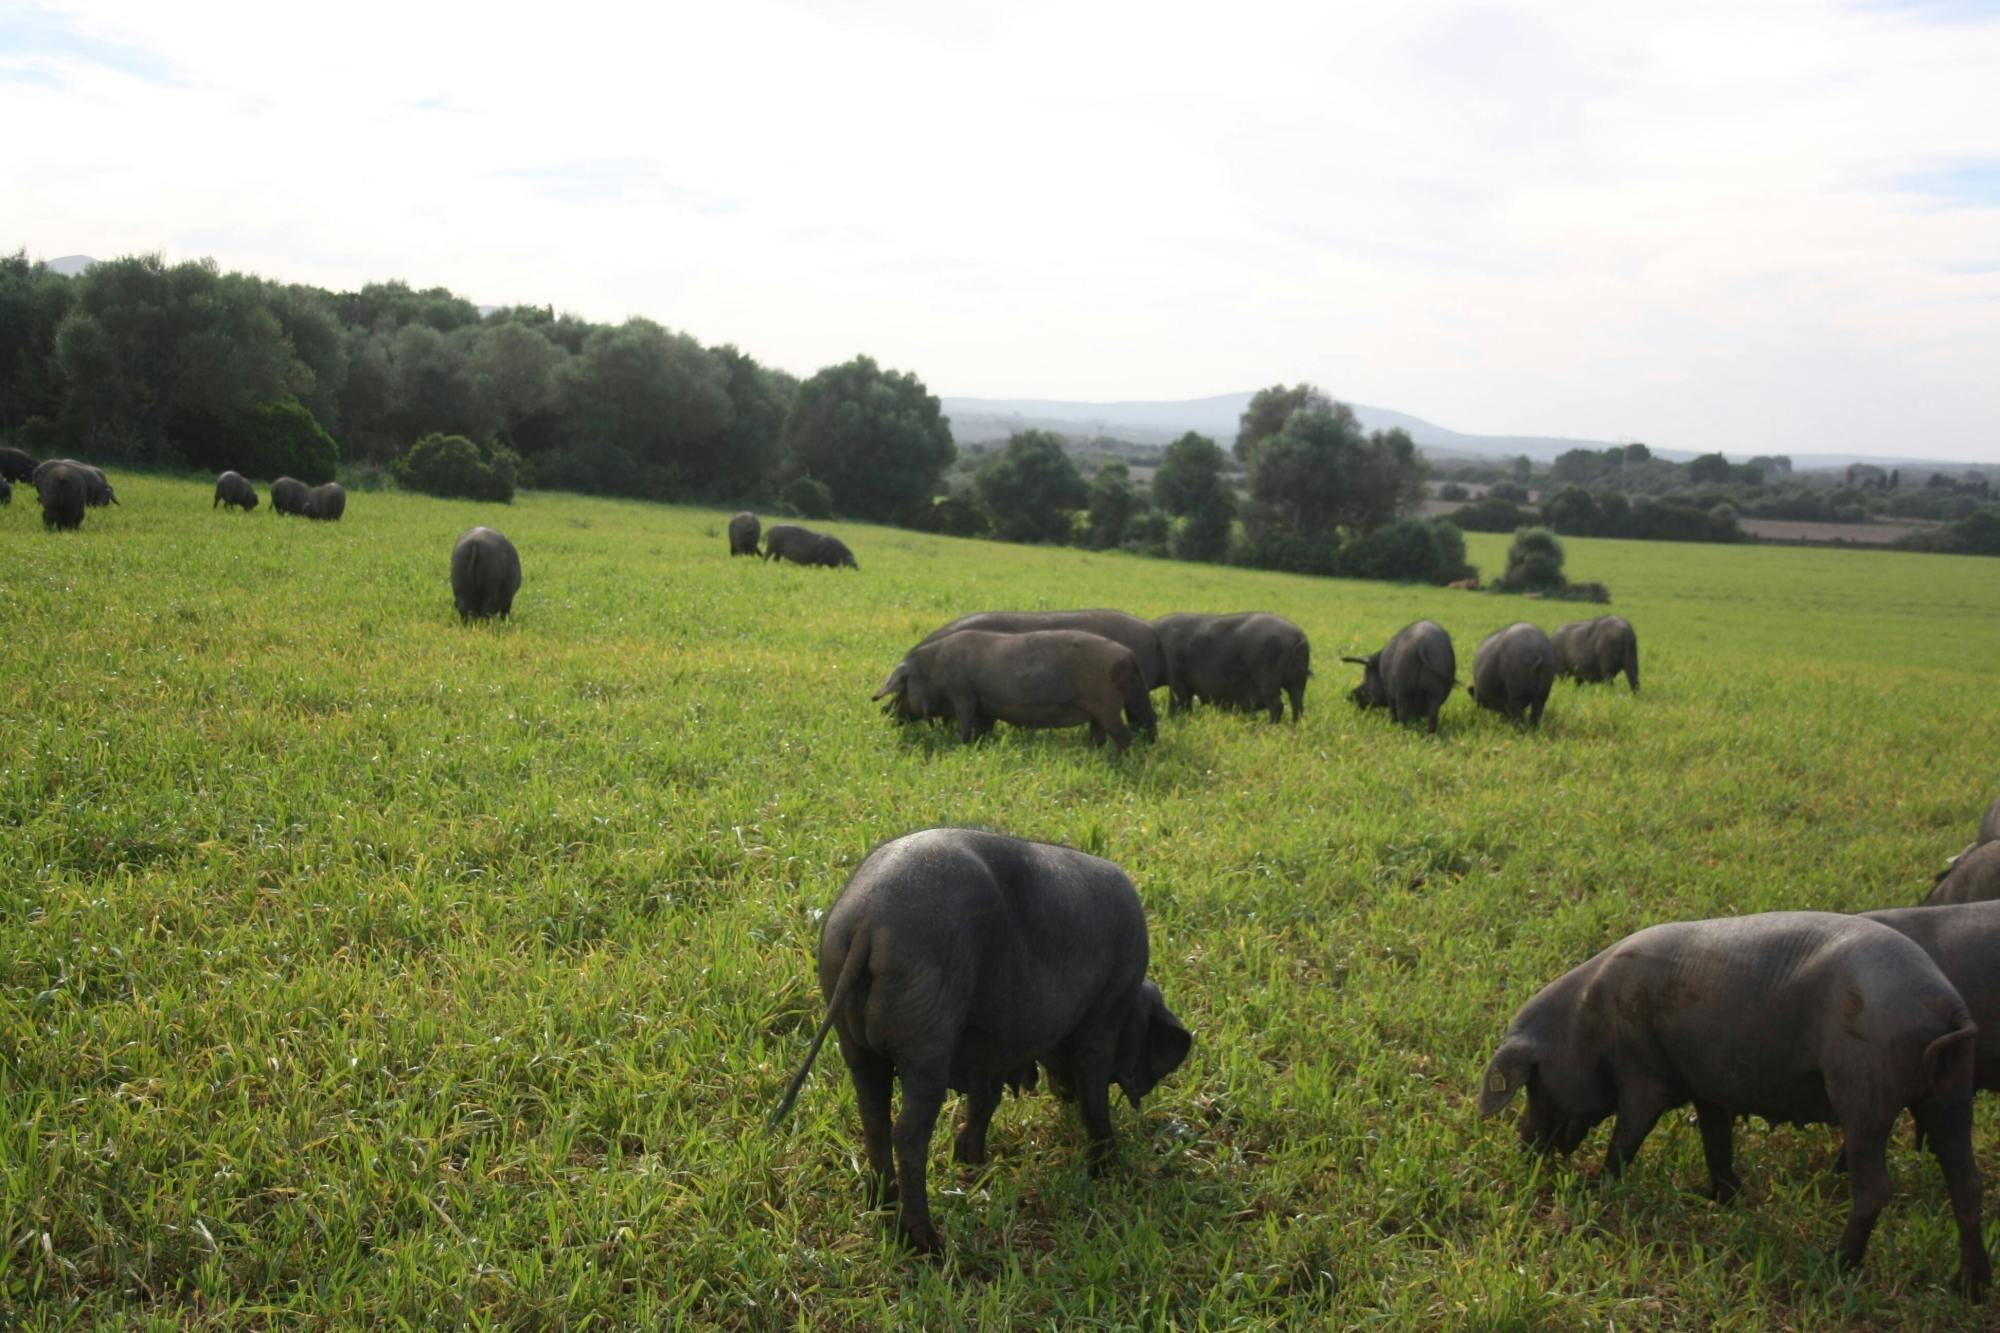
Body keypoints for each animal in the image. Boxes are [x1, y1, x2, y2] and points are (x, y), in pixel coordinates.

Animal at [764, 824, 1184, 1248]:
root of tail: (868, 919)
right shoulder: (1102, 1019)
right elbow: (1094, 1095)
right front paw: (1112, 1169)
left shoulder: (989, 1048)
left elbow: (986, 1099)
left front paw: (971, 1161)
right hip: (928, 1037)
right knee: (908, 1133)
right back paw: (929, 1244)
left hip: (855, 1038)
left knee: (874, 1115)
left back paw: (882, 1206)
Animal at [872, 628, 1160, 752]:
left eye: (899, 689)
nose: (886, 711)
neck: (933, 672)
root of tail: (1128, 655)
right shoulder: (983, 704)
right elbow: (983, 727)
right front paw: (980, 744)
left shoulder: (963, 695)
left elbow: (964, 723)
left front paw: (960, 744)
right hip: (1100, 709)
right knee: (1102, 734)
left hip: (1107, 703)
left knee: (1124, 735)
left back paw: (1120, 758)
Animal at [1160, 608, 1312, 720]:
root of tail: (1299, 637)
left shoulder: (1180, 682)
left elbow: (1183, 702)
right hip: (1298, 682)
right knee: (1298, 705)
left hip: (1268, 679)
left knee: (1277, 706)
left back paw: (1272, 728)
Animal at [1480, 908, 1992, 1288]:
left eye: (1533, 1082)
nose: (1525, 1147)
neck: (1587, 1022)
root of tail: (1947, 1007)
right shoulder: (1708, 1084)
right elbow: (1716, 1140)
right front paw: (1720, 1199)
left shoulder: (1644, 1071)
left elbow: (1628, 1133)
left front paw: (1596, 1188)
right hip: (1949, 1093)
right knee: (1967, 1181)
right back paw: (1969, 1285)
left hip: (1864, 1090)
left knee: (1876, 1187)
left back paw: (1834, 1264)